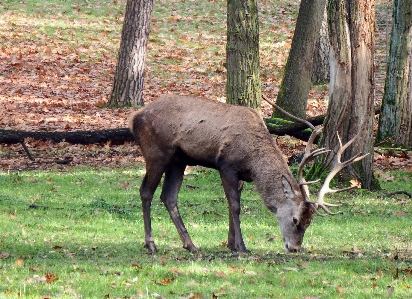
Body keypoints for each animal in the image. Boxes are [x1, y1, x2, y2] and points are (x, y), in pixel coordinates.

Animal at [129, 95, 366, 254]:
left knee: (168, 197)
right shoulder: (226, 166)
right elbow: (235, 205)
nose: (295, 248)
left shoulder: (241, 176)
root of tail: (134, 118)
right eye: (295, 219)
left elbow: (230, 205)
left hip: (179, 161)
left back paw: (191, 245)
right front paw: (242, 247)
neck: (253, 162)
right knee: (146, 191)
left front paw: (231, 244)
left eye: (310, 222)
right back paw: (151, 244)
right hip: (156, 153)